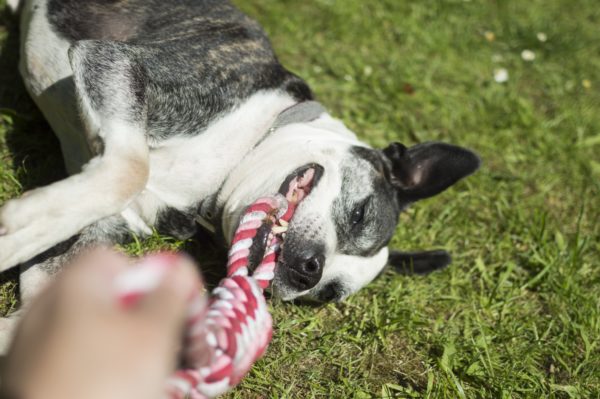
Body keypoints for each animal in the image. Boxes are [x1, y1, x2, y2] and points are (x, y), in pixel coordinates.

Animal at [0, 0, 478, 346]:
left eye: (323, 294)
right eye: (359, 213)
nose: (309, 272)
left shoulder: (101, 233)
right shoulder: (117, 62)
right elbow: (130, 169)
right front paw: (16, 229)